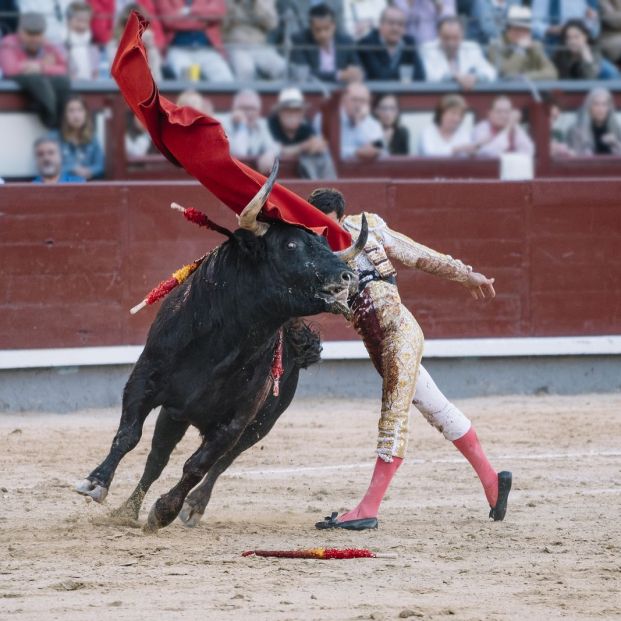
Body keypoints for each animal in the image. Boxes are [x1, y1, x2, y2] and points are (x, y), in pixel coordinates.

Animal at [77, 165, 368, 532]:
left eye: (325, 244)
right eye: (290, 244)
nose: (349, 277)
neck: (222, 343)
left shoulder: (235, 421)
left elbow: (198, 465)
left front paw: (165, 511)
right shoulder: (145, 380)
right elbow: (129, 434)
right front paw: (96, 483)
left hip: (260, 424)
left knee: (222, 462)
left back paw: (192, 507)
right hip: (176, 414)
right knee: (157, 458)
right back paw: (128, 510)